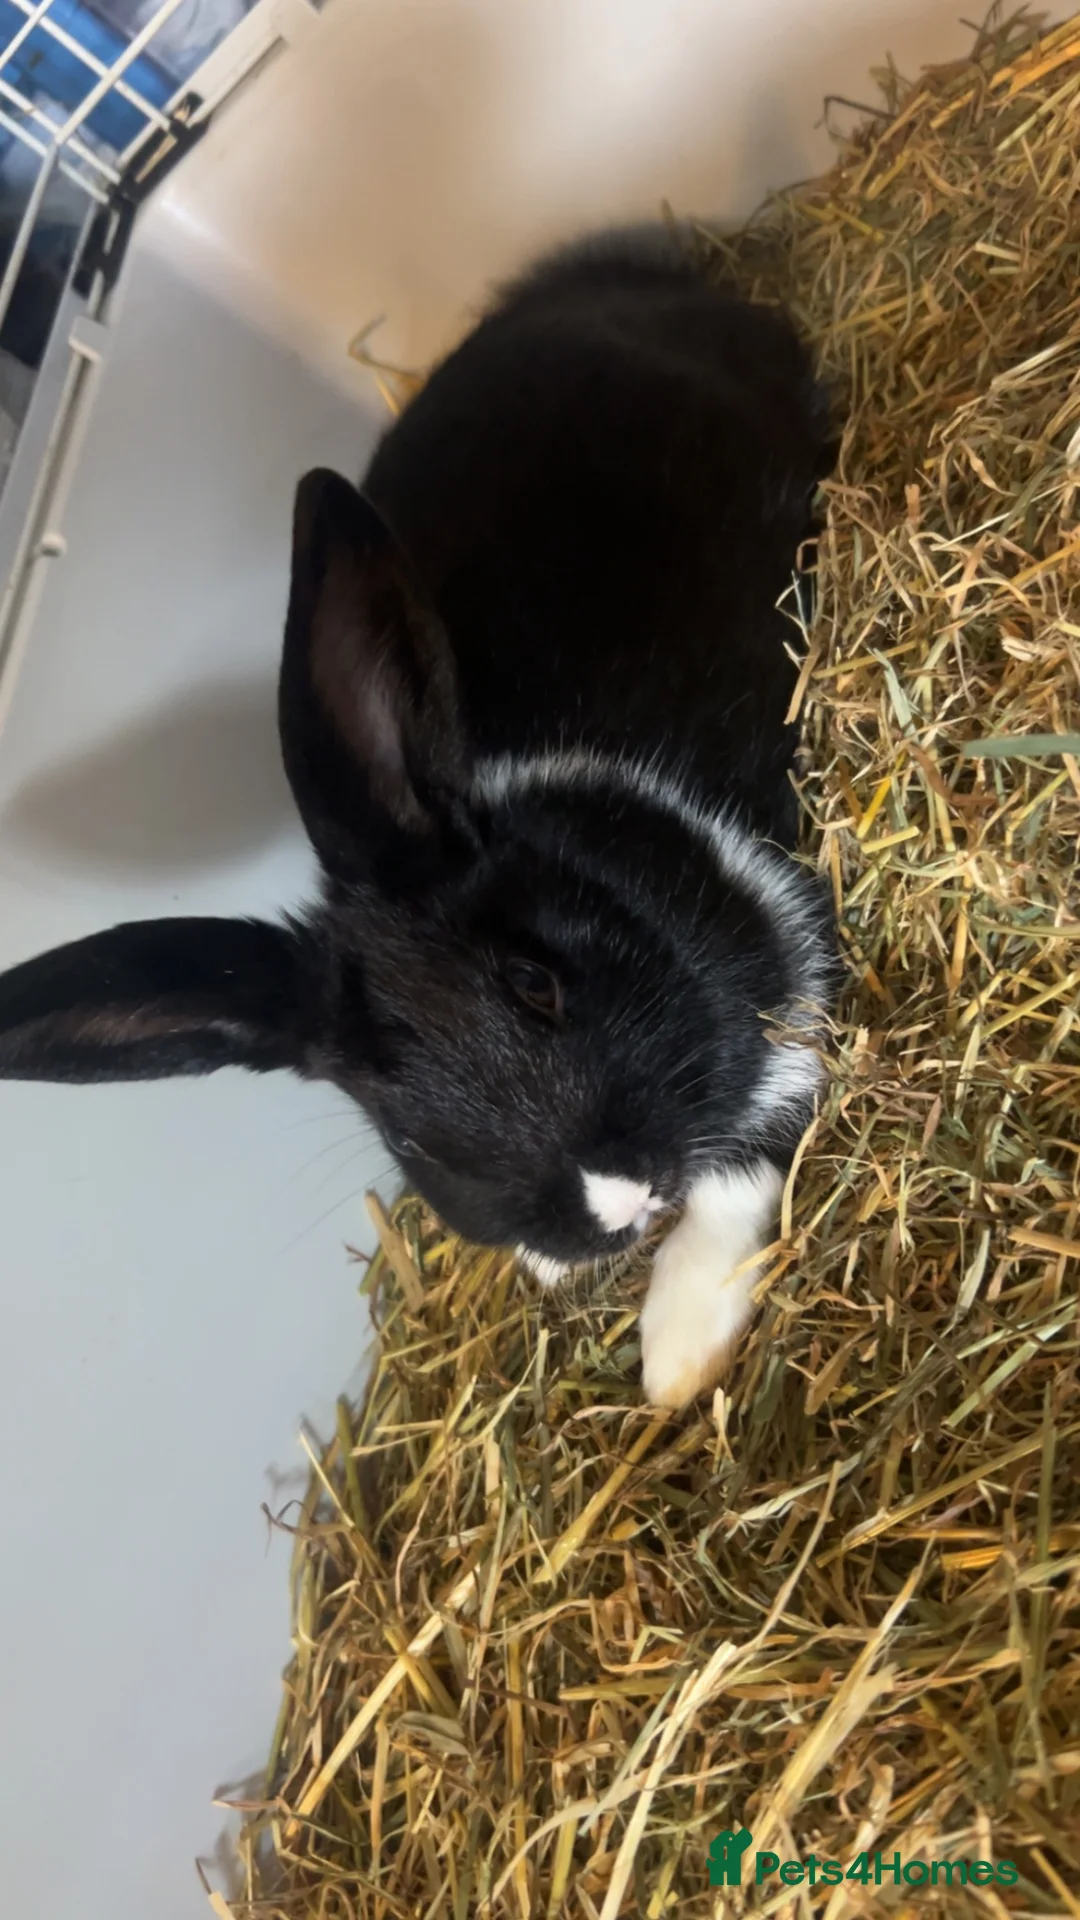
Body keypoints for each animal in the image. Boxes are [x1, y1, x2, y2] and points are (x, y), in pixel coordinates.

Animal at [0, 226, 839, 1410]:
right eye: (399, 1123)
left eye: (535, 983)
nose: (616, 1201)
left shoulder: (787, 969)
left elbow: (745, 1165)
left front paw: (677, 1362)